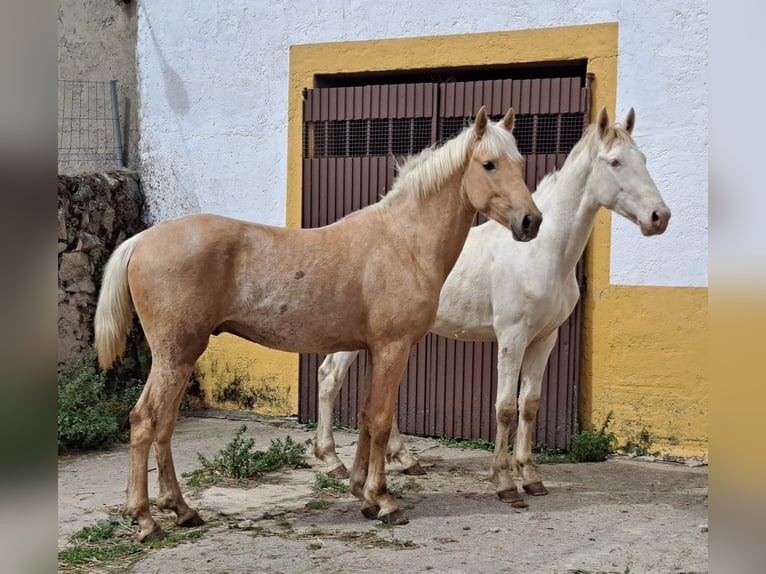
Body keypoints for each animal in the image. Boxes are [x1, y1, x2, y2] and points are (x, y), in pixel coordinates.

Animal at [93, 108, 544, 544]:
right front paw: (384, 500)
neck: (402, 242)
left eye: (520, 163)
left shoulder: (370, 349)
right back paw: (146, 521)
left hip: (181, 356)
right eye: (489, 164)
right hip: (176, 353)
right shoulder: (393, 348)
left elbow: (365, 418)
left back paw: (182, 510)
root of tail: (141, 240)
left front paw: (363, 493)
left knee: (163, 424)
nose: (531, 222)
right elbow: (381, 421)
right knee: (146, 421)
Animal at [312, 107, 672, 508]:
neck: (542, 253)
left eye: (643, 159)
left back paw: (404, 459)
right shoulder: (512, 337)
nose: (659, 216)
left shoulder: (545, 338)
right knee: (330, 378)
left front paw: (530, 476)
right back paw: (333, 461)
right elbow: (505, 408)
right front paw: (504, 483)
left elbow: (529, 405)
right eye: (615, 162)